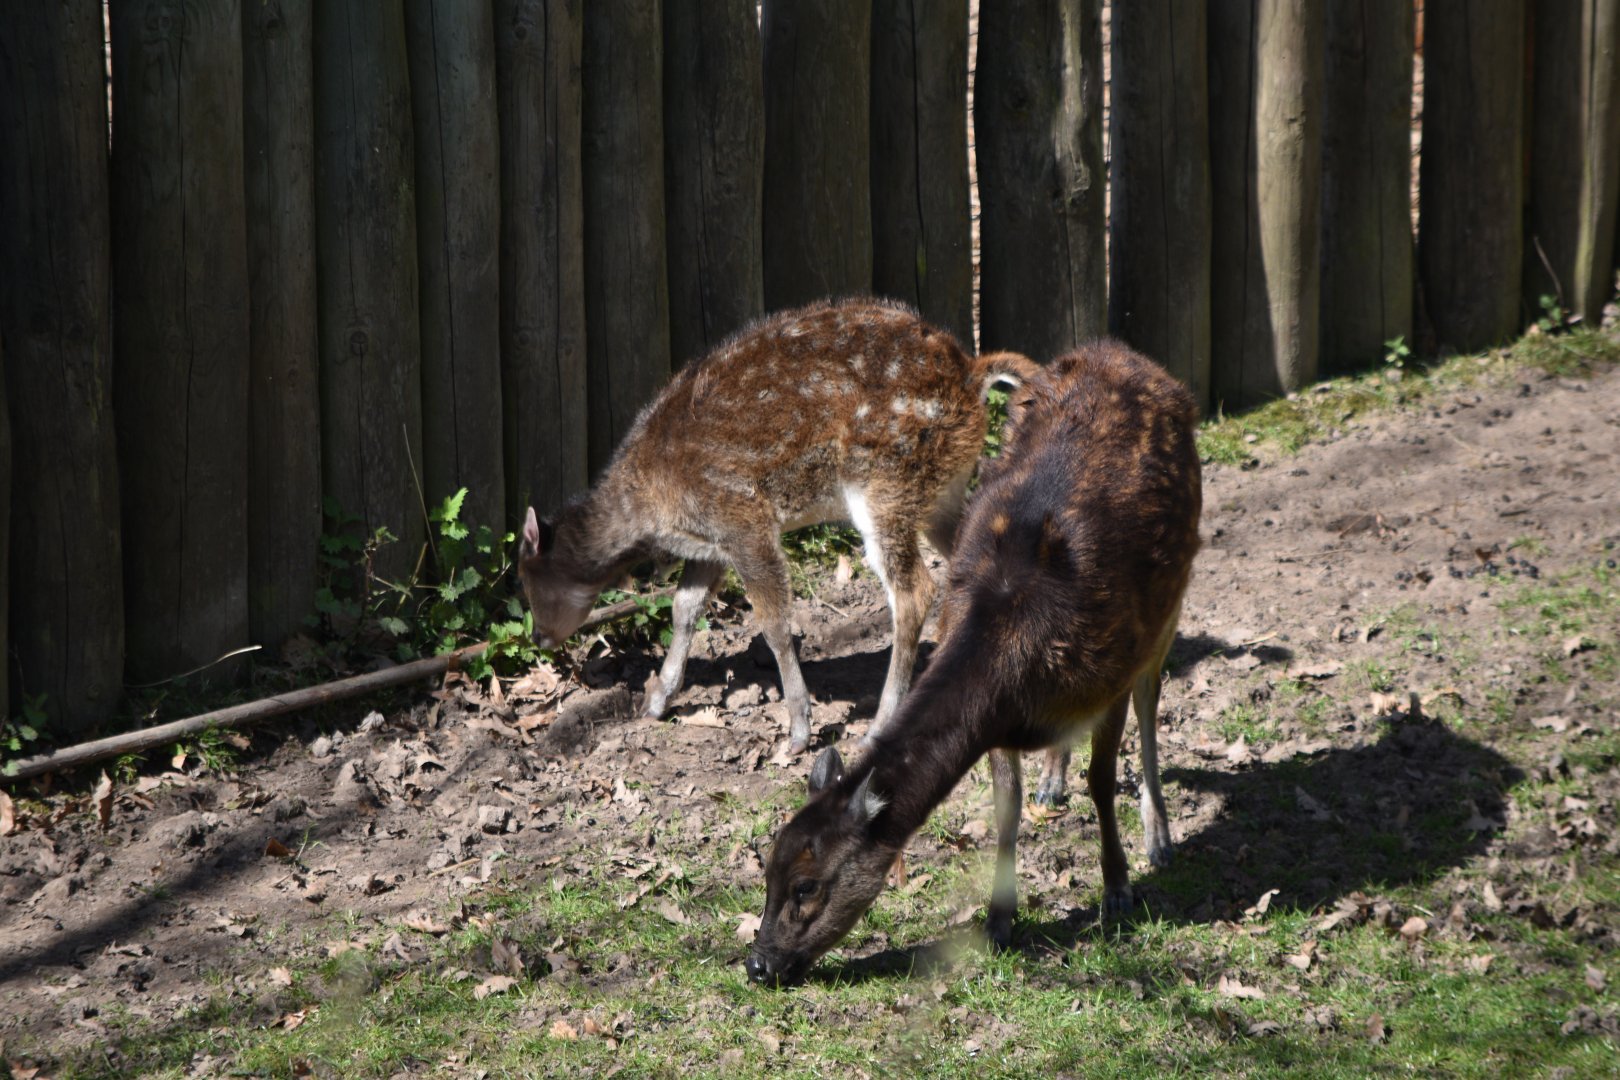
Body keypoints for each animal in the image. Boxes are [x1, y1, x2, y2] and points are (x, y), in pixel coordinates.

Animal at [518, 297, 1038, 754]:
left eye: (529, 581)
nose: (539, 638)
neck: (651, 502)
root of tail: (973, 374)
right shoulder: (713, 543)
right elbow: (684, 608)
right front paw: (657, 700)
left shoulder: (742, 515)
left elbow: (772, 621)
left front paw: (799, 731)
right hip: (939, 492)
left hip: (886, 480)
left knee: (915, 590)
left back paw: (879, 725)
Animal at [745, 338, 1202, 986]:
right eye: (767, 871)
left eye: (807, 886)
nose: (759, 963)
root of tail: (1123, 353)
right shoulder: (1000, 727)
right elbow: (1006, 809)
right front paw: (998, 921)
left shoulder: (1112, 669)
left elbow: (1101, 779)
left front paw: (1117, 889)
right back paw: (1052, 781)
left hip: (1171, 599)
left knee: (1150, 700)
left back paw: (1158, 836)